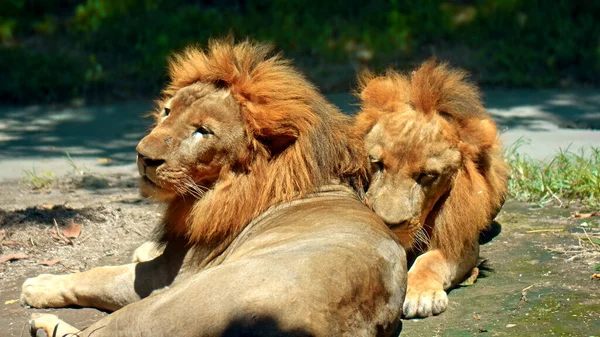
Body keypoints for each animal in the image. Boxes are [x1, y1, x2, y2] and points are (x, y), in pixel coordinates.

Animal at [19, 40, 408, 336]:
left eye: (203, 131)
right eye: (166, 111)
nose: (143, 156)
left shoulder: (164, 276)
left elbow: (100, 275)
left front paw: (40, 285)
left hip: (162, 304)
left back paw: (43, 321)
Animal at [354, 61, 508, 318]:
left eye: (427, 176)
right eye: (377, 163)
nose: (388, 224)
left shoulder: (462, 243)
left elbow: (431, 260)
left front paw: (419, 295)